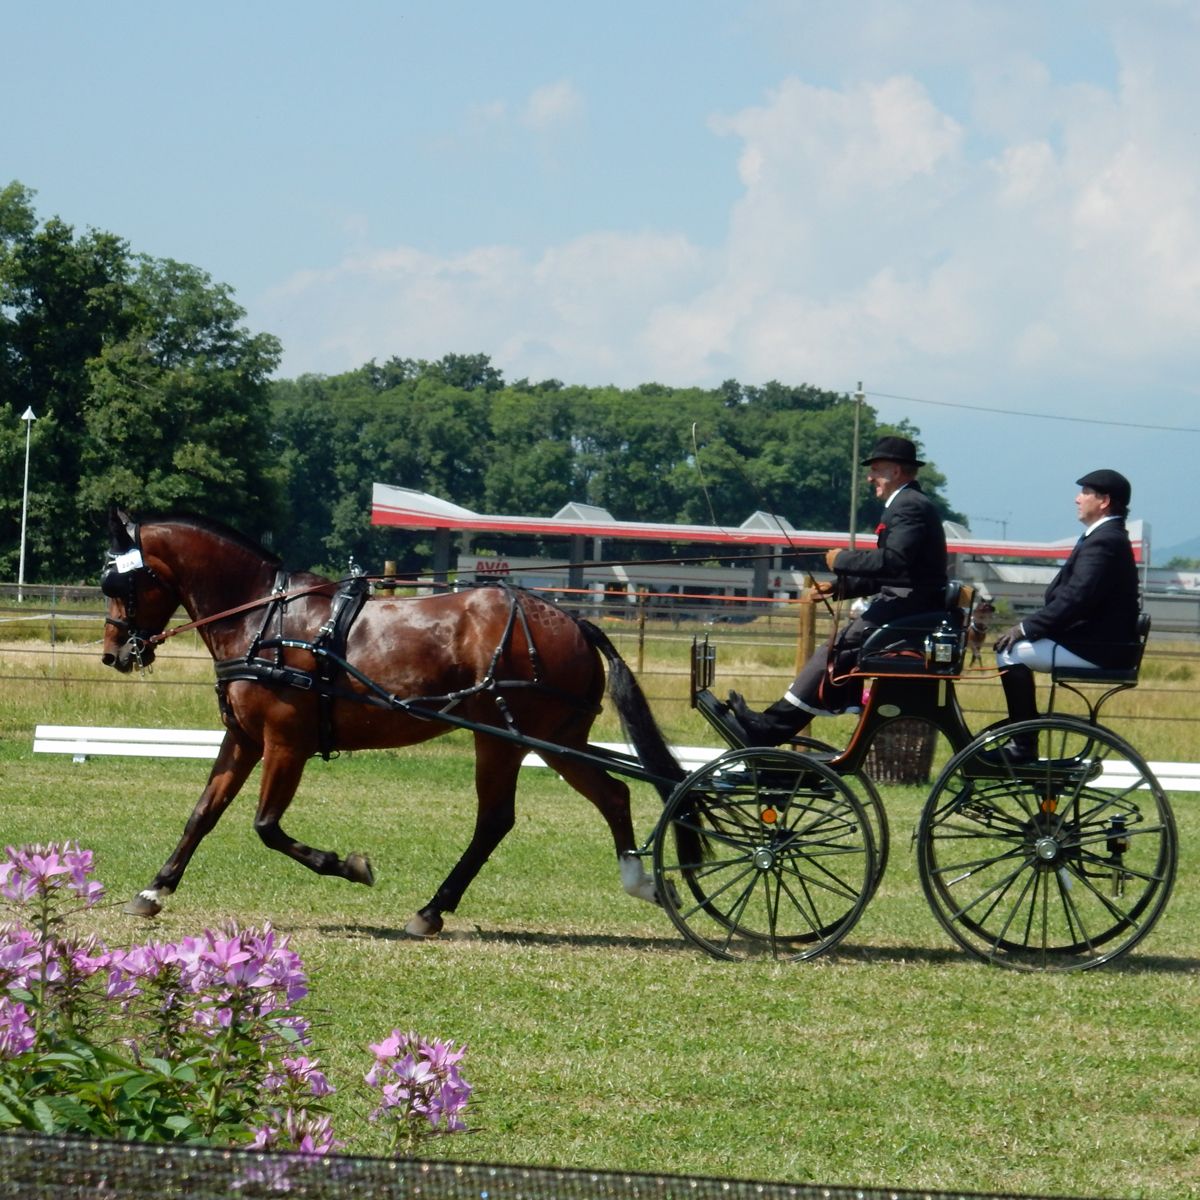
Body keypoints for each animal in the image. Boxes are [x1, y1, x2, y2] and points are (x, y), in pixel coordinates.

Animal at [99, 509, 685, 937]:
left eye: (121, 584)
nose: (113, 655)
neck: (263, 618)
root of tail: (575, 622)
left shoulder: (285, 743)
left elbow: (266, 826)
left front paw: (348, 866)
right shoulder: (244, 738)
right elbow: (203, 814)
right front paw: (153, 890)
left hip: (519, 740)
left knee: (510, 817)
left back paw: (435, 910)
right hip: (545, 740)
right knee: (607, 797)